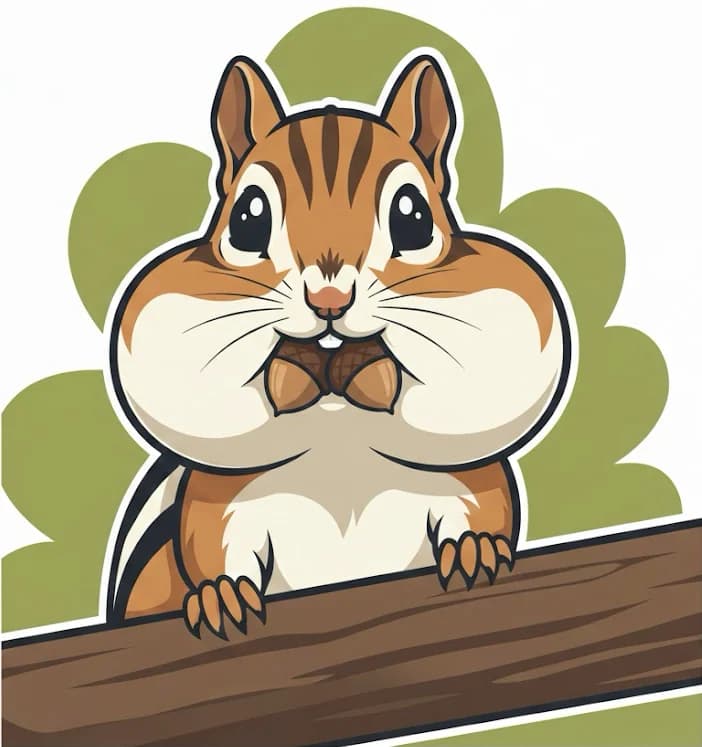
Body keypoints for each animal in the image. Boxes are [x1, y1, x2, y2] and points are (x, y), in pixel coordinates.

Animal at [105, 52, 570, 639]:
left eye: (414, 218)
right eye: (247, 219)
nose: (329, 298)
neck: (336, 409)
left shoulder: (468, 479)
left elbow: (488, 514)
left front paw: (476, 550)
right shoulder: (220, 499)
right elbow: (209, 547)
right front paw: (220, 596)